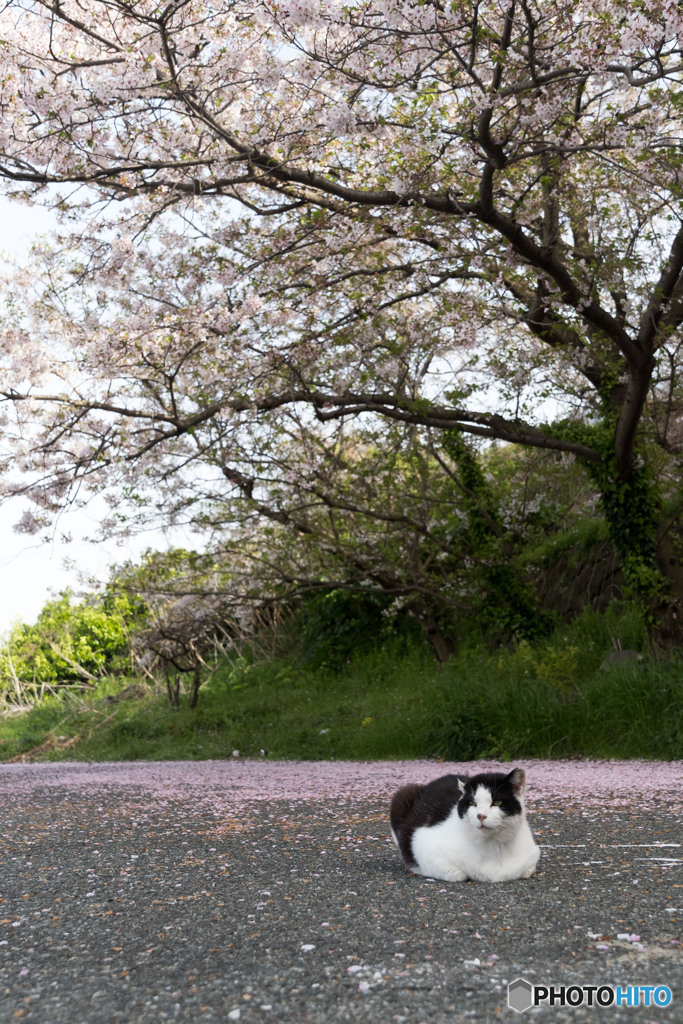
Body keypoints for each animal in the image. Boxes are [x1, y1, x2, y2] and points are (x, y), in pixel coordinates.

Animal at [389, 770, 540, 880]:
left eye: (497, 802)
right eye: (473, 803)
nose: (481, 816)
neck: (494, 845)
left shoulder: (531, 858)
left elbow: (527, 870)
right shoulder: (423, 845)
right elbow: (459, 875)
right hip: (402, 795)